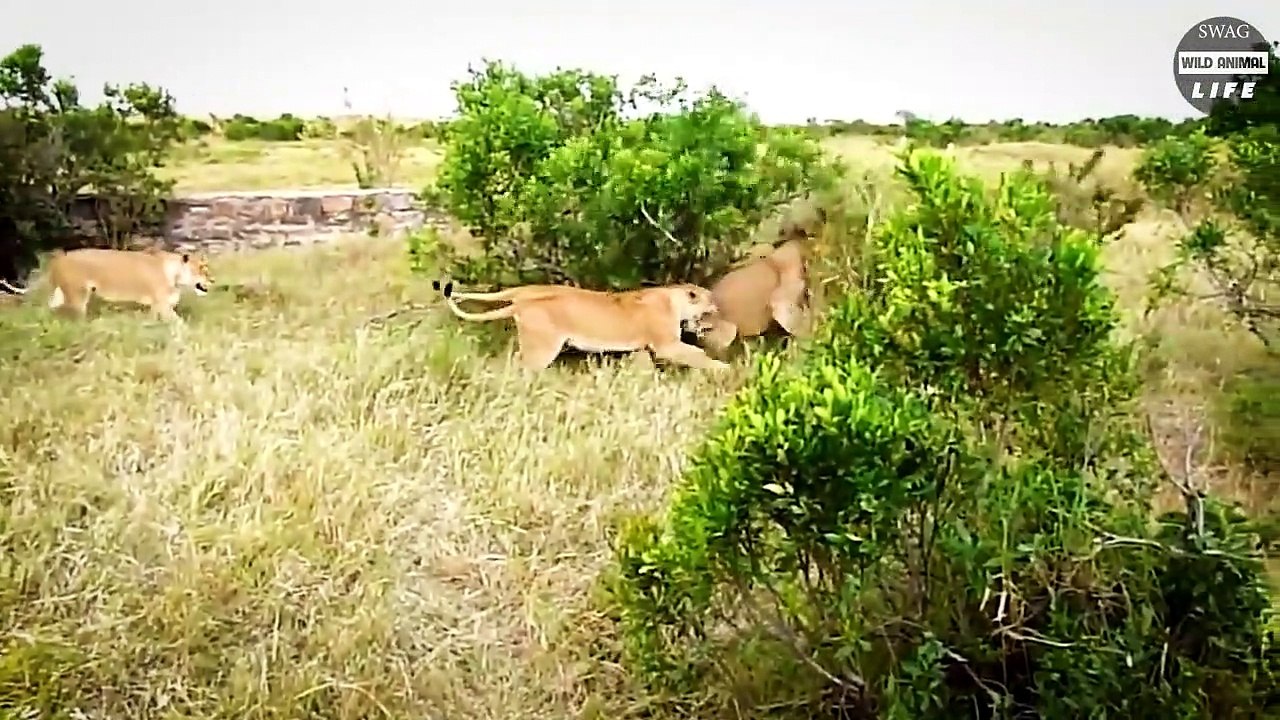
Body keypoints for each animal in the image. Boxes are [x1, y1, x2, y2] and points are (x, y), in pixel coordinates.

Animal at [2, 247, 214, 322]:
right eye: (202, 268)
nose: (212, 280)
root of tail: (59, 259)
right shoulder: (162, 305)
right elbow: (179, 323)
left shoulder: (157, 306)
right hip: (78, 294)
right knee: (76, 315)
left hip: (61, 293)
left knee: (47, 308)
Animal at [431, 279, 730, 371]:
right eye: (710, 302)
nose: (719, 308)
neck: (673, 298)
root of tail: (522, 301)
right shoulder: (667, 344)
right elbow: (698, 354)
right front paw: (723, 369)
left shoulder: (642, 347)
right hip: (543, 348)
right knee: (521, 364)